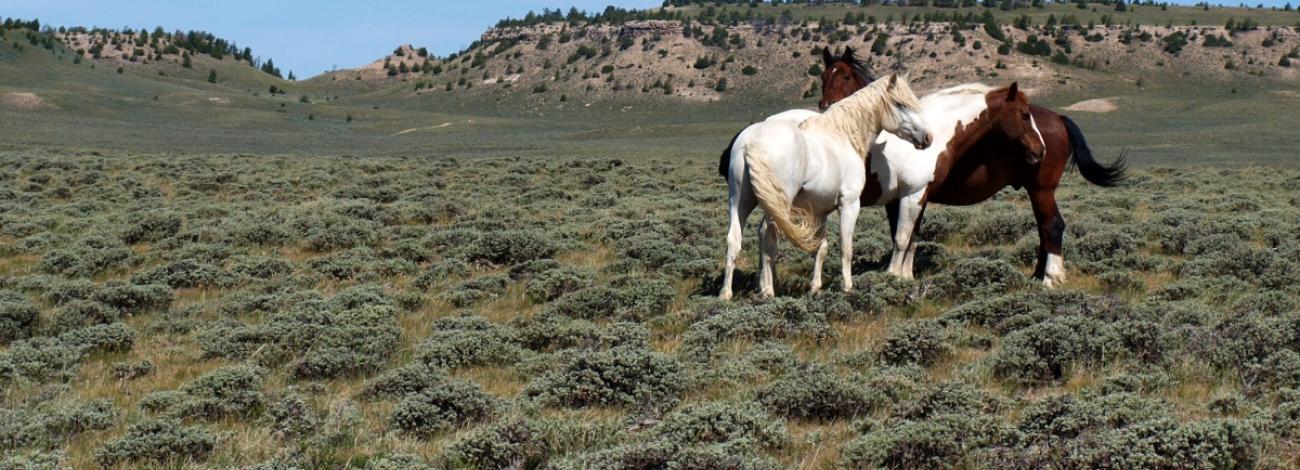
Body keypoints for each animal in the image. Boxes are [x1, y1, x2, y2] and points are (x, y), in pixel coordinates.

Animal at [720, 74, 933, 300]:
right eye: (900, 104)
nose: (928, 138)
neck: (842, 136)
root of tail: (752, 141)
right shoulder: (849, 205)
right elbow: (846, 247)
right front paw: (847, 286)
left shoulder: (820, 211)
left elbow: (821, 247)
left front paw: (815, 287)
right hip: (777, 206)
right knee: (769, 239)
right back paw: (768, 290)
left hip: (740, 202)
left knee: (735, 240)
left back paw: (727, 294)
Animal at [819, 62, 1127, 287]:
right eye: (822, 76)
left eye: (845, 77)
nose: (826, 106)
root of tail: (1060, 119)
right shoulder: (909, 197)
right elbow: (910, 236)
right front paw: (905, 278)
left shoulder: (910, 195)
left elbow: (903, 237)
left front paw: (896, 279)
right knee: (1045, 228)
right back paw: (1038, 276)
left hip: (1041, 190)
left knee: (1052, 226)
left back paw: (1050, 279)